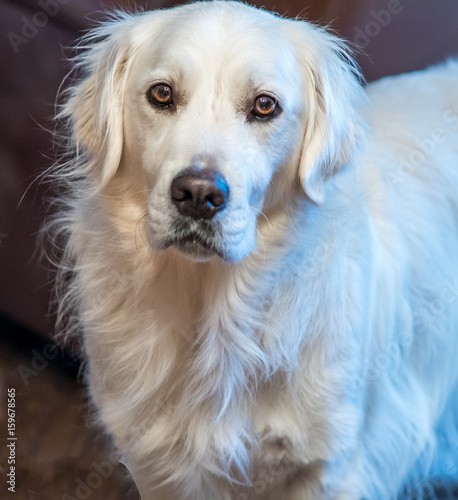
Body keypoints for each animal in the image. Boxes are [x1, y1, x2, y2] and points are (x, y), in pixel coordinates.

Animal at [51, 1, 458, 498]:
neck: (217, 317)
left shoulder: (333, 467)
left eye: (265, 105)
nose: (199, 195)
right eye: (162, 94)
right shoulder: (159, 463)